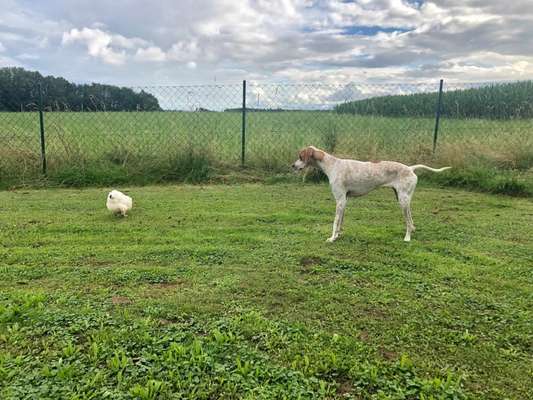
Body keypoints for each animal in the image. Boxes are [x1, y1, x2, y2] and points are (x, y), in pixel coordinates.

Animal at [290, 146, 448, 242]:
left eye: (300, 156)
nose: (292, 166)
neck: (332, 165)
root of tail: (410, 168)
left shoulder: (340, 200)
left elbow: (335, 222)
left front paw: (332, 238)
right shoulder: (344, 201)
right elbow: (340, 222)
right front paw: (338, 236)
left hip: (403, 201)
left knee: (408, 221)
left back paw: (407, 237)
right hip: (402, 198)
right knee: (411, 218)